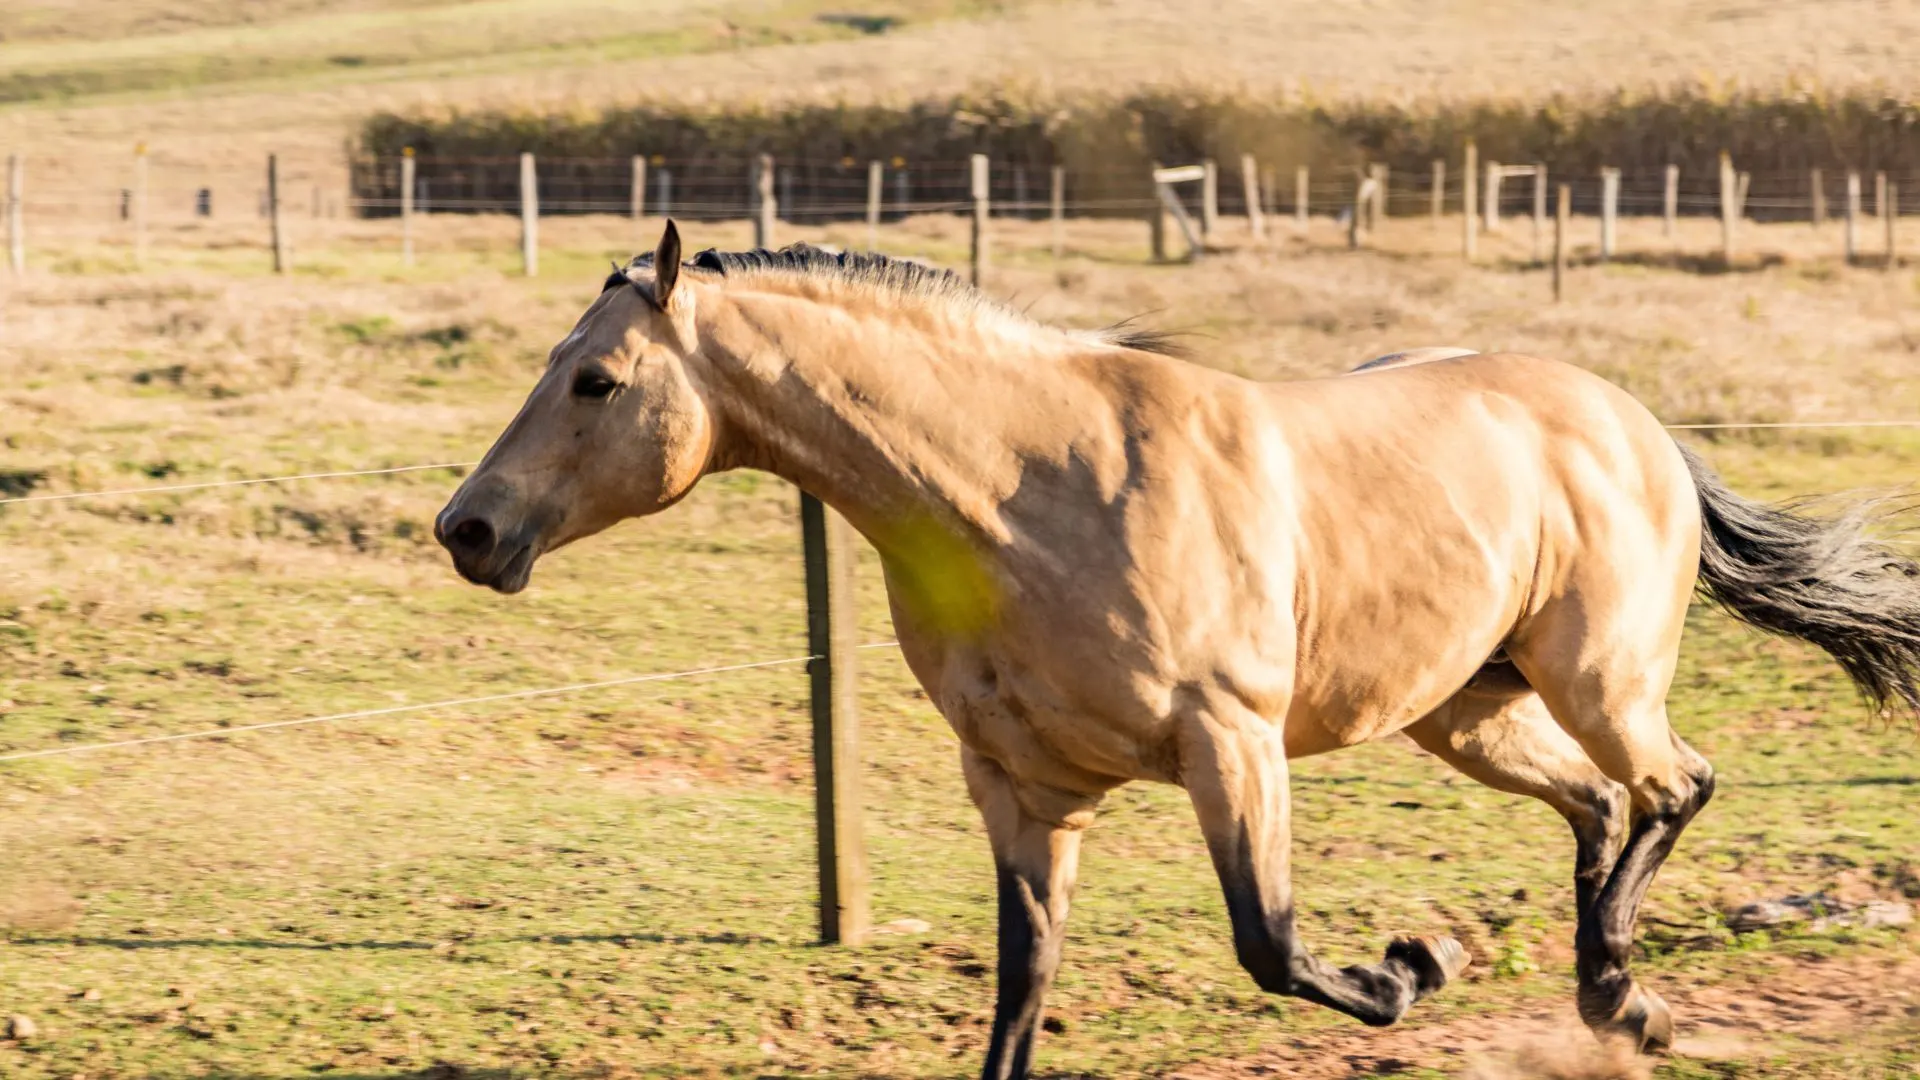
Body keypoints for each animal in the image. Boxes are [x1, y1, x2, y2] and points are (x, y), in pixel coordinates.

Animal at [435, 222, 1920, 1080]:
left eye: (595, 381)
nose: (468, 528)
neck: (1027, 494)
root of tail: (1635, 422)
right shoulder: (1022, 790)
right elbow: (1022, 987)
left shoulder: (1231, 741)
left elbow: (1271, 944)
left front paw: (1412, 969)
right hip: (1467, 712)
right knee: (1607, 804)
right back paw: (1611, 999)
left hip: (1596, 679)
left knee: (1674, 785)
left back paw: (1627, 1002)